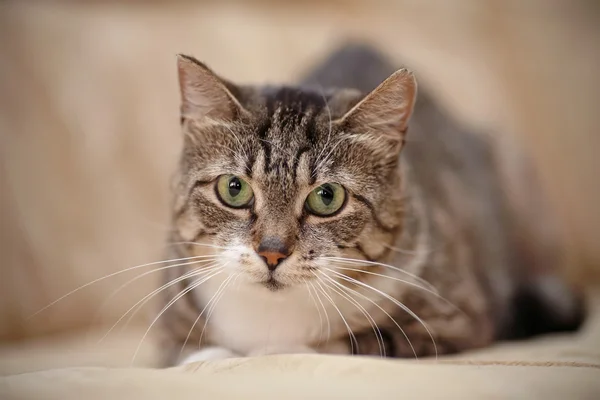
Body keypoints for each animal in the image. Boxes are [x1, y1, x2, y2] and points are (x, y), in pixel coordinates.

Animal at [157, 43, 584, 366]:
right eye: (234, 189)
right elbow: (189, 352)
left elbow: (353, 343)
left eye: (327, 197)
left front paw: (274, 350)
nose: (272, 252)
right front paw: (213, 355)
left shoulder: (459, 318)